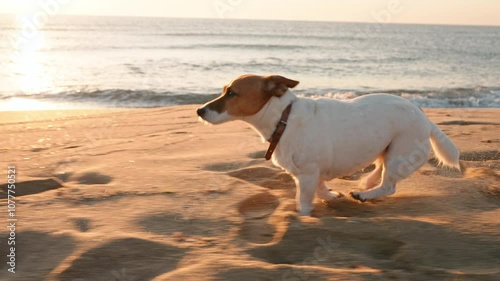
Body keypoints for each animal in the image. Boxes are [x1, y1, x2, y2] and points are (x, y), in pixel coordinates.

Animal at [196, 74, 460, 214]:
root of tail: (425, 117)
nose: (199, 110)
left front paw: (302, 215)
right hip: (386, 149)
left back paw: (366, 194)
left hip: (399, 154)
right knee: (379, 168)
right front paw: (331, 195)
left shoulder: (307, 174)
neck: (283, 118)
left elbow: (304, 199)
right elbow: (322, 186)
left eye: (232, 93)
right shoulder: (312, 172)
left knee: (389, 185)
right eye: (224, 90)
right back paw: (367, 183)